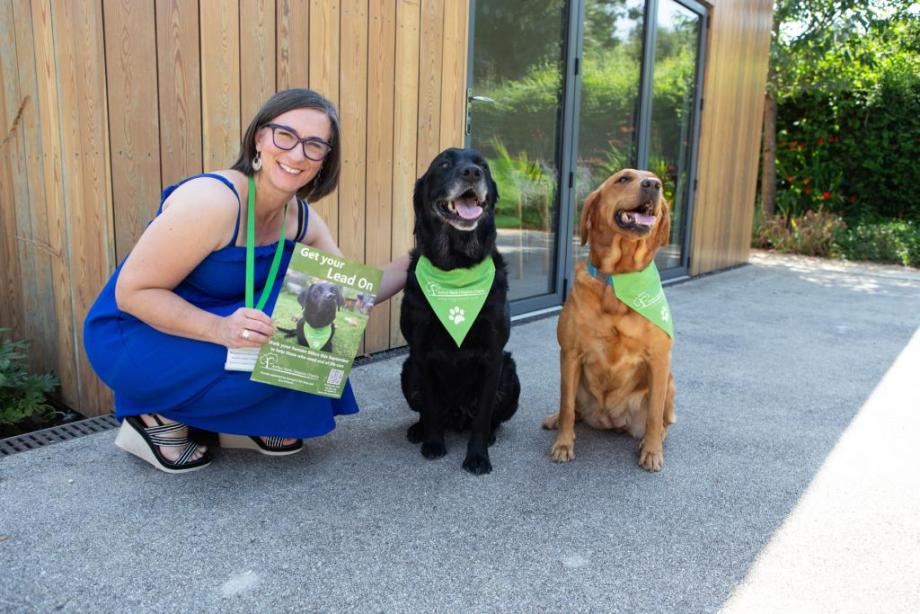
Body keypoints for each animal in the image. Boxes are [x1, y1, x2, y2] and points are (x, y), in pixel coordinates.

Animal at [398, 148, 520, 476]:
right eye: (444, 164)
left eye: (484, 166)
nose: (471, 173)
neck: (456, 267)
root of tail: (456, 415)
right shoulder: (421, 353)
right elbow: (429, 406)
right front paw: (433, 443)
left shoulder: (493, 355)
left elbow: (483, 417)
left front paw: (477, 456)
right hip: (407, 370)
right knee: (428, 413)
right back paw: (418, 430)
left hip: (510, 374)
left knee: (490, 418)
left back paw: (489, 435)